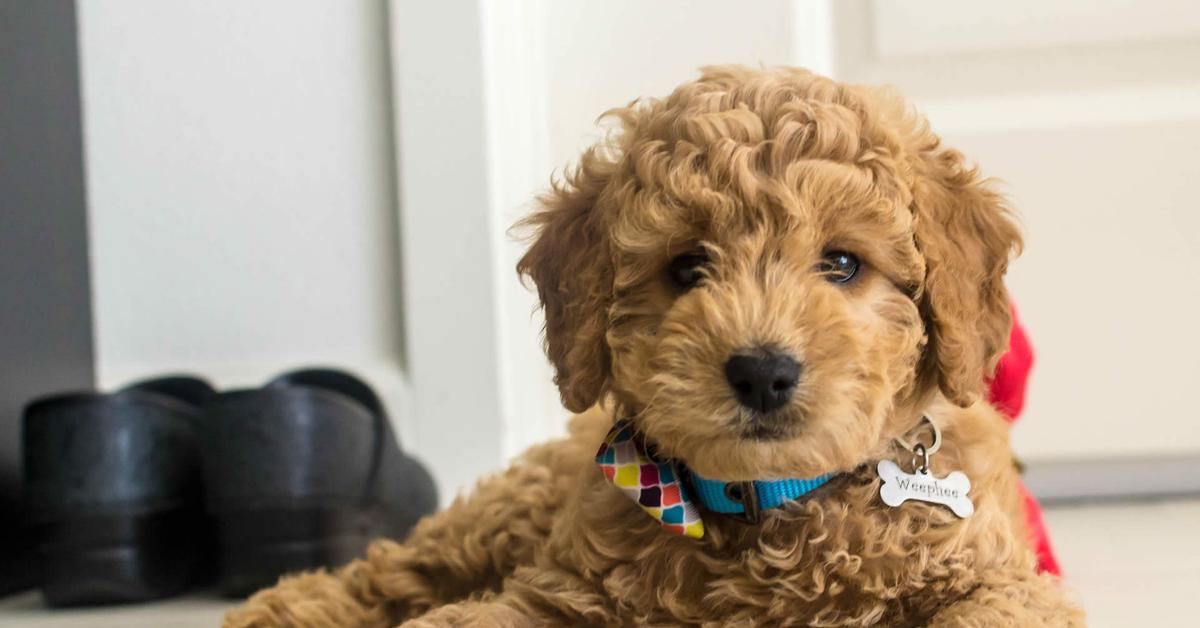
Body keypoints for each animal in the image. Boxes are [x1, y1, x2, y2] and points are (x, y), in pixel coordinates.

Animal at [226, 66, 1089, 624]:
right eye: (686, 267)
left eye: (843, 264)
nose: (762, 372)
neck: (770, 506)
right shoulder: (563, 590)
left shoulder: (991, 578)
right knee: (397, 569)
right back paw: (285, 605)